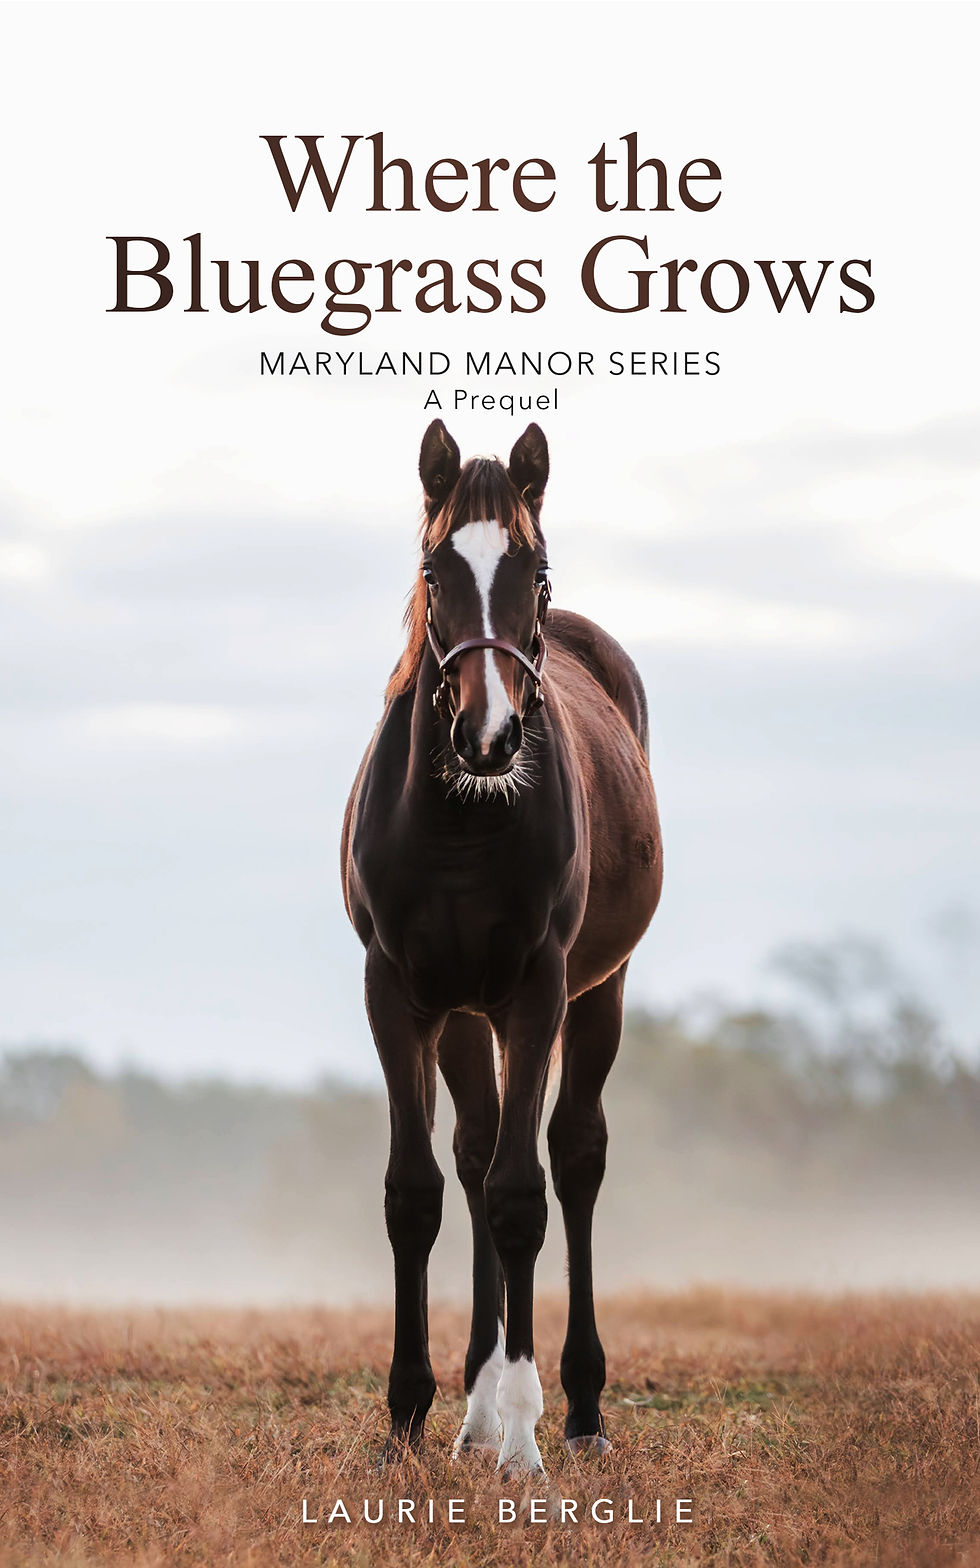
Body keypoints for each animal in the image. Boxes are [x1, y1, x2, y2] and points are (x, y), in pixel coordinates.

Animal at [341, 419, 662, 1475]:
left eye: (537, 571)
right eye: (434, 569)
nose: (488, 737)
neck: (461, 828)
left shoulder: (536, 991)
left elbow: (525, 1196)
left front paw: (524, 1434)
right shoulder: (398, 994)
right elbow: (419, 1193)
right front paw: (408, 1415)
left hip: (596, 995)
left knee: (572, 1158)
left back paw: (578, 1410)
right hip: (461, 1017)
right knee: (476, 1158)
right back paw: (474, 1413)